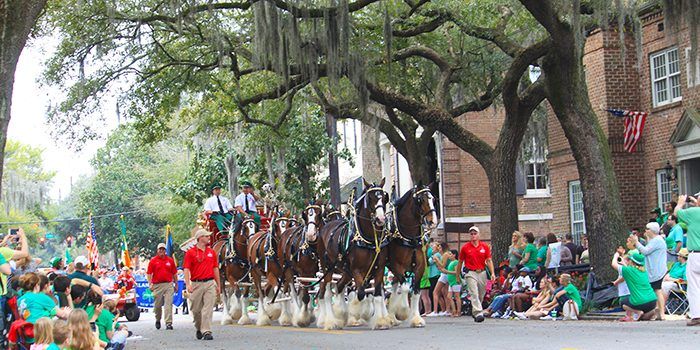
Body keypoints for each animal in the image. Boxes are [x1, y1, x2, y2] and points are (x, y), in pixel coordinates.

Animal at [314, 179, 392, 330]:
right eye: (370, 197)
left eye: (384, 197)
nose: (380, 219)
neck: (368, 239)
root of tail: (325, 228)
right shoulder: (356, 270)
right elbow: (361, 293)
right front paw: (360, 313)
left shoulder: (379, 269)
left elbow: (378, 295)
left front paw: (380, 321)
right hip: (328, 268)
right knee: (327, 293)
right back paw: (331, 321)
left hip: (345, 271)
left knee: (338, 286)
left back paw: (340, 314)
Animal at [382, 186, 438, 328]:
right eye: (420, 200)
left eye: (433, 199)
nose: (433, 221)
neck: (410, 238)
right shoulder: (396, 266)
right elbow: (406, 288)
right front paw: (404, 311)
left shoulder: (420, 267)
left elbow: (416, 291)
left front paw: (416, 318)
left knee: (393, 286)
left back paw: (392, 316)